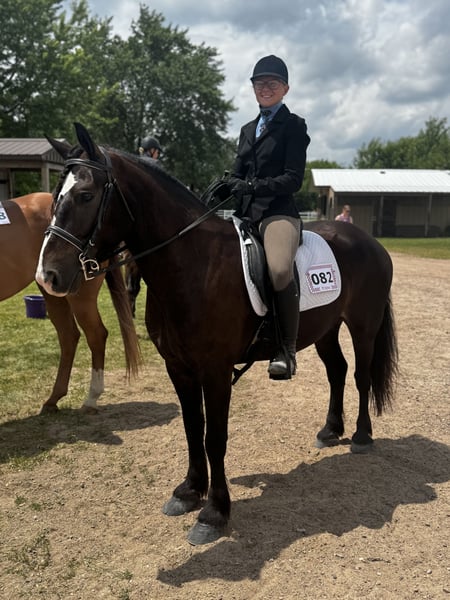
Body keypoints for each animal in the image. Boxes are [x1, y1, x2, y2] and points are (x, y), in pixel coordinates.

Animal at [1, 192, 140, 413]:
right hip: (51, 290)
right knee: (68, 336)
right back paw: (53, 399)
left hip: (79, 296)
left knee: (95, 334)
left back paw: (91, 398)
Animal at [36, 123, 398, 545]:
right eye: (55, 196)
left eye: (86, 195)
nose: (47, 276)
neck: (193, 264)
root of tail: (369, 242)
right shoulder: (178, 368)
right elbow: (193, 428)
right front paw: (189, 492)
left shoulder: (215, 371)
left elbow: (215, 437)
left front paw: (214, 512)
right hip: (325, 327)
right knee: (337, 371)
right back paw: (330, 430)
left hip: (363, 325)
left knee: (360, 376)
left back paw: (361, 437)